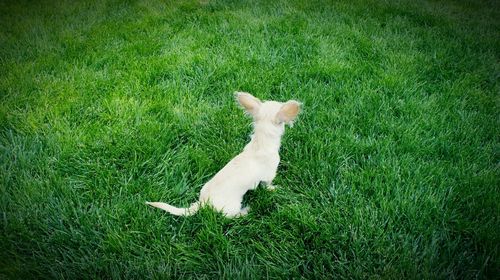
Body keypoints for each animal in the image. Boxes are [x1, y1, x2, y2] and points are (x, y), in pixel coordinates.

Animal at [145, 92, 300, 219]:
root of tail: (203, 203)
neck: (259, 144)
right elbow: (267, 185)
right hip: (232, 207)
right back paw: (245, 211)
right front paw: (274, 189)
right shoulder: (268, 176)